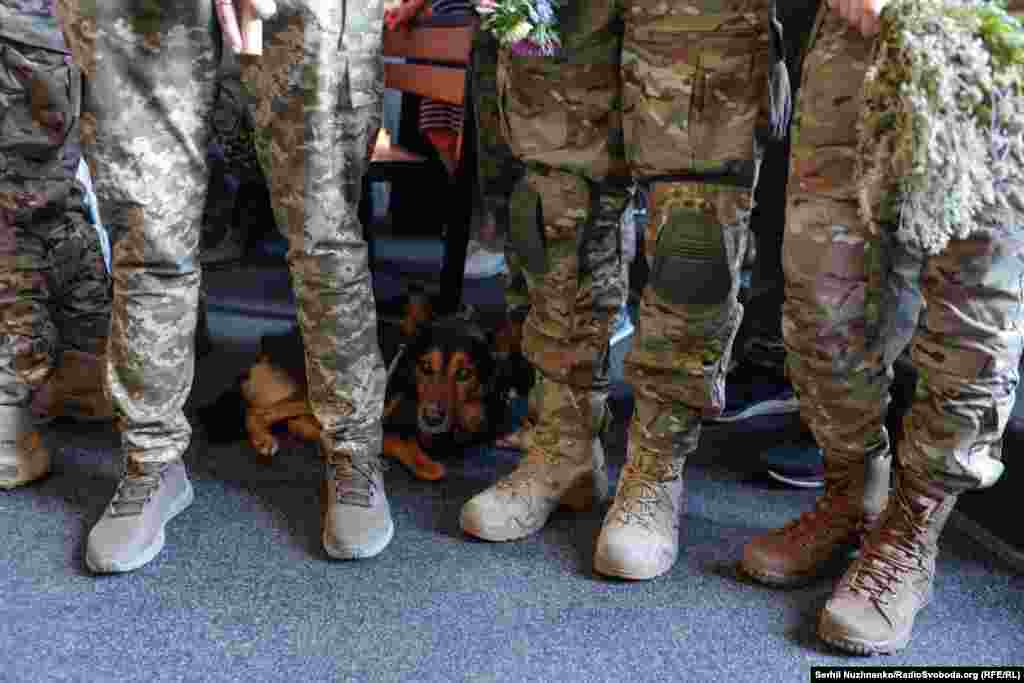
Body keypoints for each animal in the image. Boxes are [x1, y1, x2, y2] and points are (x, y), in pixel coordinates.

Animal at [201, 294, 536, 481]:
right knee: (260, 411)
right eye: (425, 367)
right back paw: (264, 438)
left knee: (297, 422)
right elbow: (412, 448)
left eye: (465, 373)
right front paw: (426, 463)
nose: (431, 418)